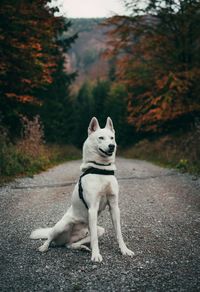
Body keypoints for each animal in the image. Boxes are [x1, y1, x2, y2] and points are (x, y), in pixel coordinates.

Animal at [30, 116, 134, 262]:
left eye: (112, 138)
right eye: (101, 138)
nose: (112, 146)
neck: (101, 169)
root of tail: (66, 238)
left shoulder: (114, 207)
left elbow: (119, 233)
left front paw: (124, 250)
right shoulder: (92, 208)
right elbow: (95, 239)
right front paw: (96, 255)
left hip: (98, 230)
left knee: (70, 245)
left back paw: (81, 247)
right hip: (61, 226)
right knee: (50, 237)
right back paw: (44, 247)